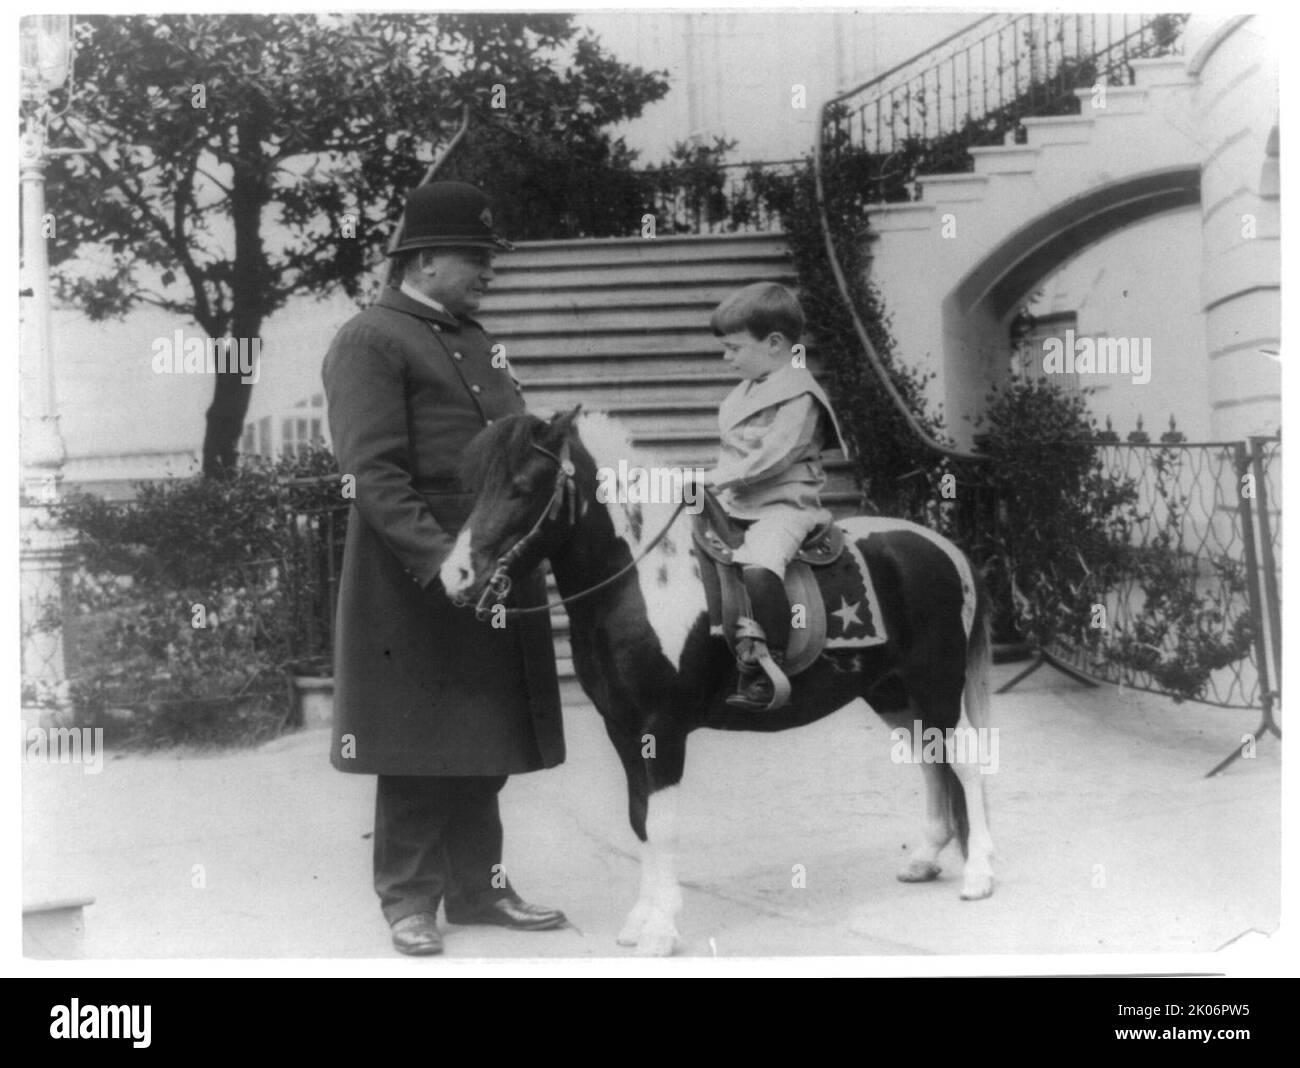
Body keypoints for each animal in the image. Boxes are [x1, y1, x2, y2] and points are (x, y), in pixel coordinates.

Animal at [439, 405, 993, 956]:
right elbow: (639, 818)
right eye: (476, 487)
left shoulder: (661, 730)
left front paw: (661, 930)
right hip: (892, 692)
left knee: (964, 761)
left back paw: (979, 877)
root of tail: (947, 549)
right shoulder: (622, 728)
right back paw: (924, 859)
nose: (456, 576)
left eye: (524, 486)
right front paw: (639, 922)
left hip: (936, 683)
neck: (639, 580)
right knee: (929, 759)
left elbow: (660, 825)